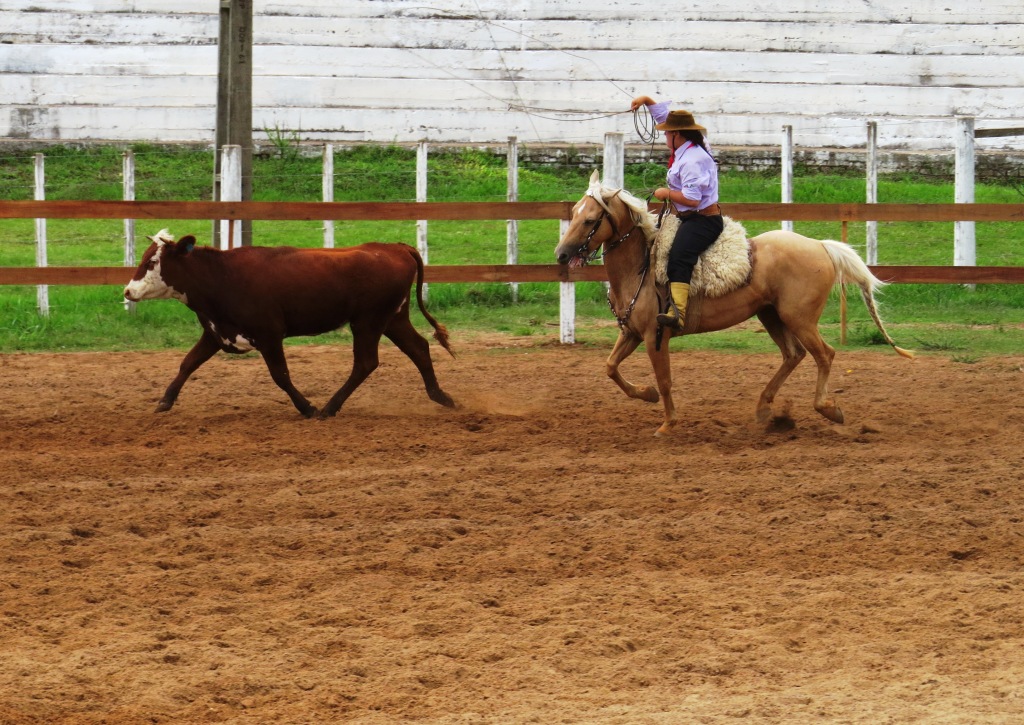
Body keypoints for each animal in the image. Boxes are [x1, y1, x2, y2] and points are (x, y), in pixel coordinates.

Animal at [121, 229, 454, 415]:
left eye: (152, 262)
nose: (128, 291)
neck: (222, 276)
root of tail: (396, 247)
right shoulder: (216, 333)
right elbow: (187, 364)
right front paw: (164, 402)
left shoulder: (269, 335)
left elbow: (280, 375)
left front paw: (307, 407)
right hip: (393, 318)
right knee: (419, 349)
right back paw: (442, 397)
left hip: (369, 321)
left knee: (366, 363)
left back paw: (328, 408)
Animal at [552, 171, 913, 436]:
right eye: (574, 213)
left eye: (590, 220)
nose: (562, 255)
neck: (641, 265)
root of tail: (820, 246)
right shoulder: (631, 333)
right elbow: (611, 367)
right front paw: (647, 394)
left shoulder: (656, 336)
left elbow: (665, 380)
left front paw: (667, 424)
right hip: (772, 315)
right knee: (793, 355)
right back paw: (765, 409)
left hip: (799, 319)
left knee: (824, 355)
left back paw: (827, 409)